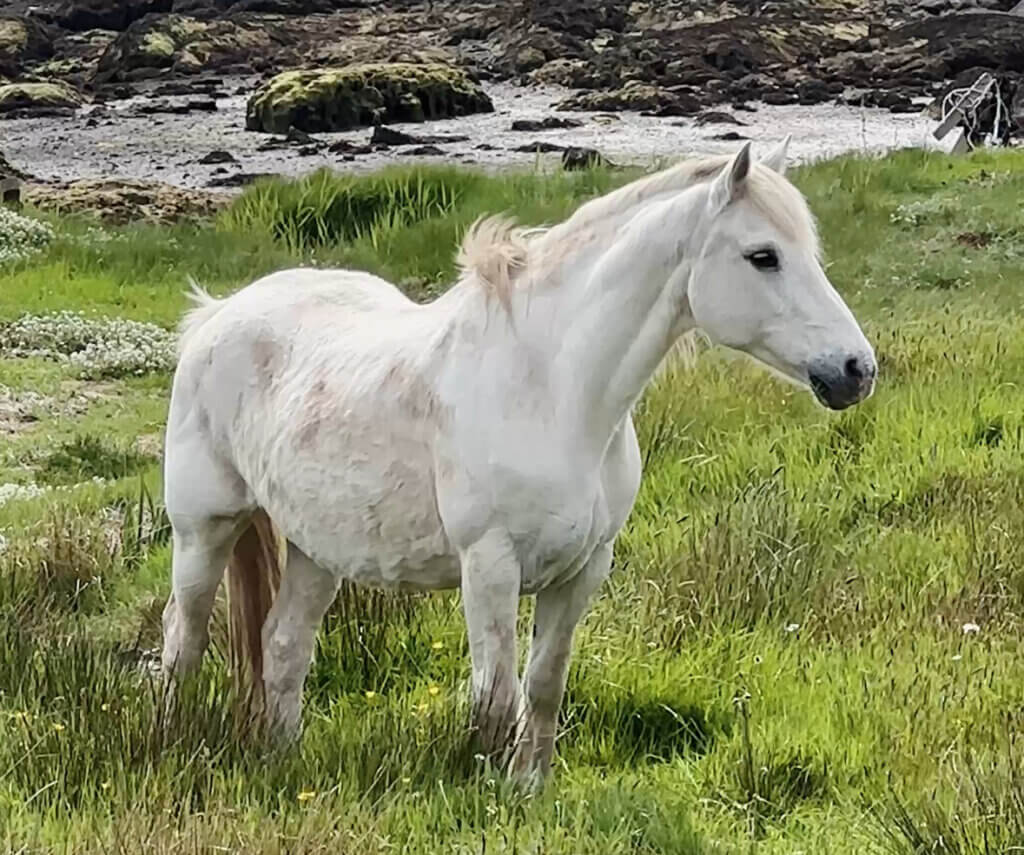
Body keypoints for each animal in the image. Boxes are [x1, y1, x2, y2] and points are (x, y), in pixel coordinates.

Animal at [160, 139, 876, 788]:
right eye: (763, 256)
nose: (856, 370)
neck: (552, 392)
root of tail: (214, 316)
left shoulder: (584, 569)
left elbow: (544, 685)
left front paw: (530, 787)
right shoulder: (490, 566)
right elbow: (495, 696)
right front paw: (485, 790)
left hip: (317, 550)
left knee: (282, 648)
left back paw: (282, 761)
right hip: (204, 532)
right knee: (182, 642)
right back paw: (171, 745)